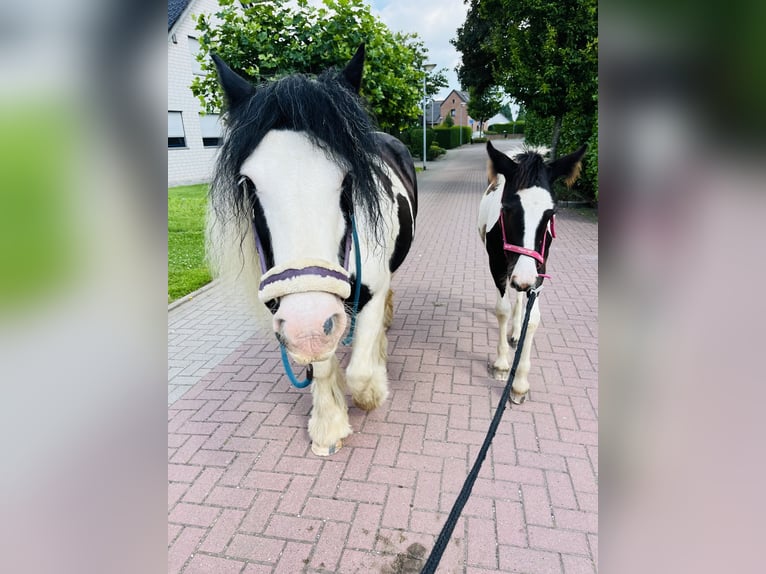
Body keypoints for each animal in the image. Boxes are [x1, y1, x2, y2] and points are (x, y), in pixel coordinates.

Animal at [207, 46, 416, 460]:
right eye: (247, 183)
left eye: (349, 180)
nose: (306, 325)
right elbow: (322, 364)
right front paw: (329, 423)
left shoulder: (370, 292)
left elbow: (361, 374)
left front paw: (374, 387)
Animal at [480, 143, 588, 404]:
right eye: (506, 209)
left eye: (551, 213)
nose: (524, 279)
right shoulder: (497, 265)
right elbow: (502, 310)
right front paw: (501, 364)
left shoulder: (540, 268)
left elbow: (532, 318)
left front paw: (519, 384)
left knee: (520, 298)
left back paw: (516, 331)